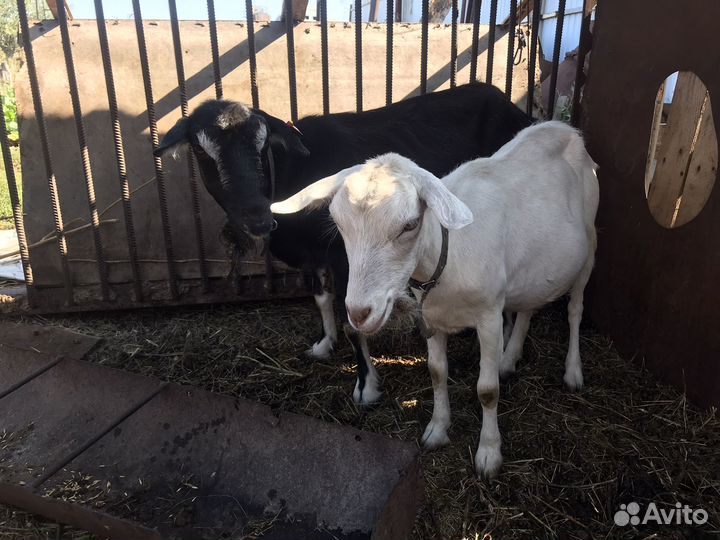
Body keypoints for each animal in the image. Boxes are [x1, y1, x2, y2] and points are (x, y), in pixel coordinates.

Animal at [155, 83, 531, 405]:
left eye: (262, 146)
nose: (258, 219)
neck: (290, 174)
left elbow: (353, 324)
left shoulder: (344, 258)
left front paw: (366, 386)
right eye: (201, 151)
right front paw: (324, 344)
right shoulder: (314, 256)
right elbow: (321, 297)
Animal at [271, 121, 599, 478]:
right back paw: (509, 360)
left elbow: (487, 390)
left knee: (576, 309)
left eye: (410, 224)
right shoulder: (431, 317)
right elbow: (437, 371)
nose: (358, 313)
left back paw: (573, 373)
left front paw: (488, 454)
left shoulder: (489, 315)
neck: (447, 254)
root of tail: (566, 129)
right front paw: (437, 431)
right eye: (338, 224)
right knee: (527, 308)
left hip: (590, 245)